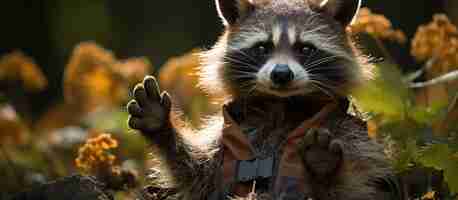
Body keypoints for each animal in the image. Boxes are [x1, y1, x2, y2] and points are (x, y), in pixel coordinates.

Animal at [128, 0, 394, 200]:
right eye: (263, 47)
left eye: (305, 49)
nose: (281, 74)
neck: (281, 104)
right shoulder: (225, 139)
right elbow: (197, 178)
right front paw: (161, 126)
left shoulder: (353, 138)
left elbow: (362, 189)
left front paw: (323, 170)